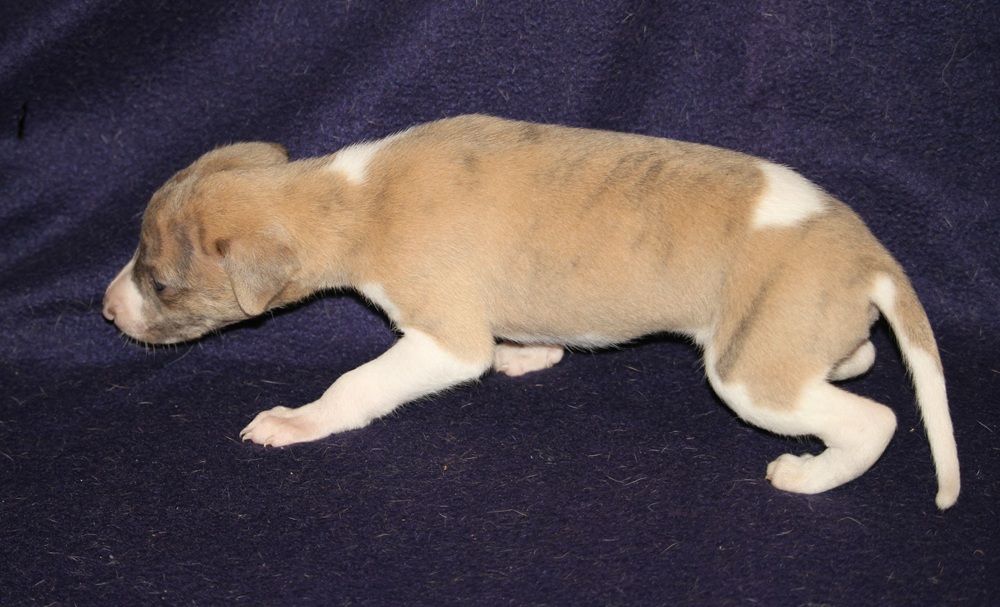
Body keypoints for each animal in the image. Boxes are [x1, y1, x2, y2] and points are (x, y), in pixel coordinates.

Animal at [103, 115, 960, 509]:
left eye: (162, 282)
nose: (107, 312)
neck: (348, 196)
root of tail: (870, 255)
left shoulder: (444, 339)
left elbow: (358, 383)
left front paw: (296, 419)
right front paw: (531, 351)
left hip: (750, 375)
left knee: (875, 417)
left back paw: (813, 473)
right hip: (787, 337)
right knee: (861, 354)